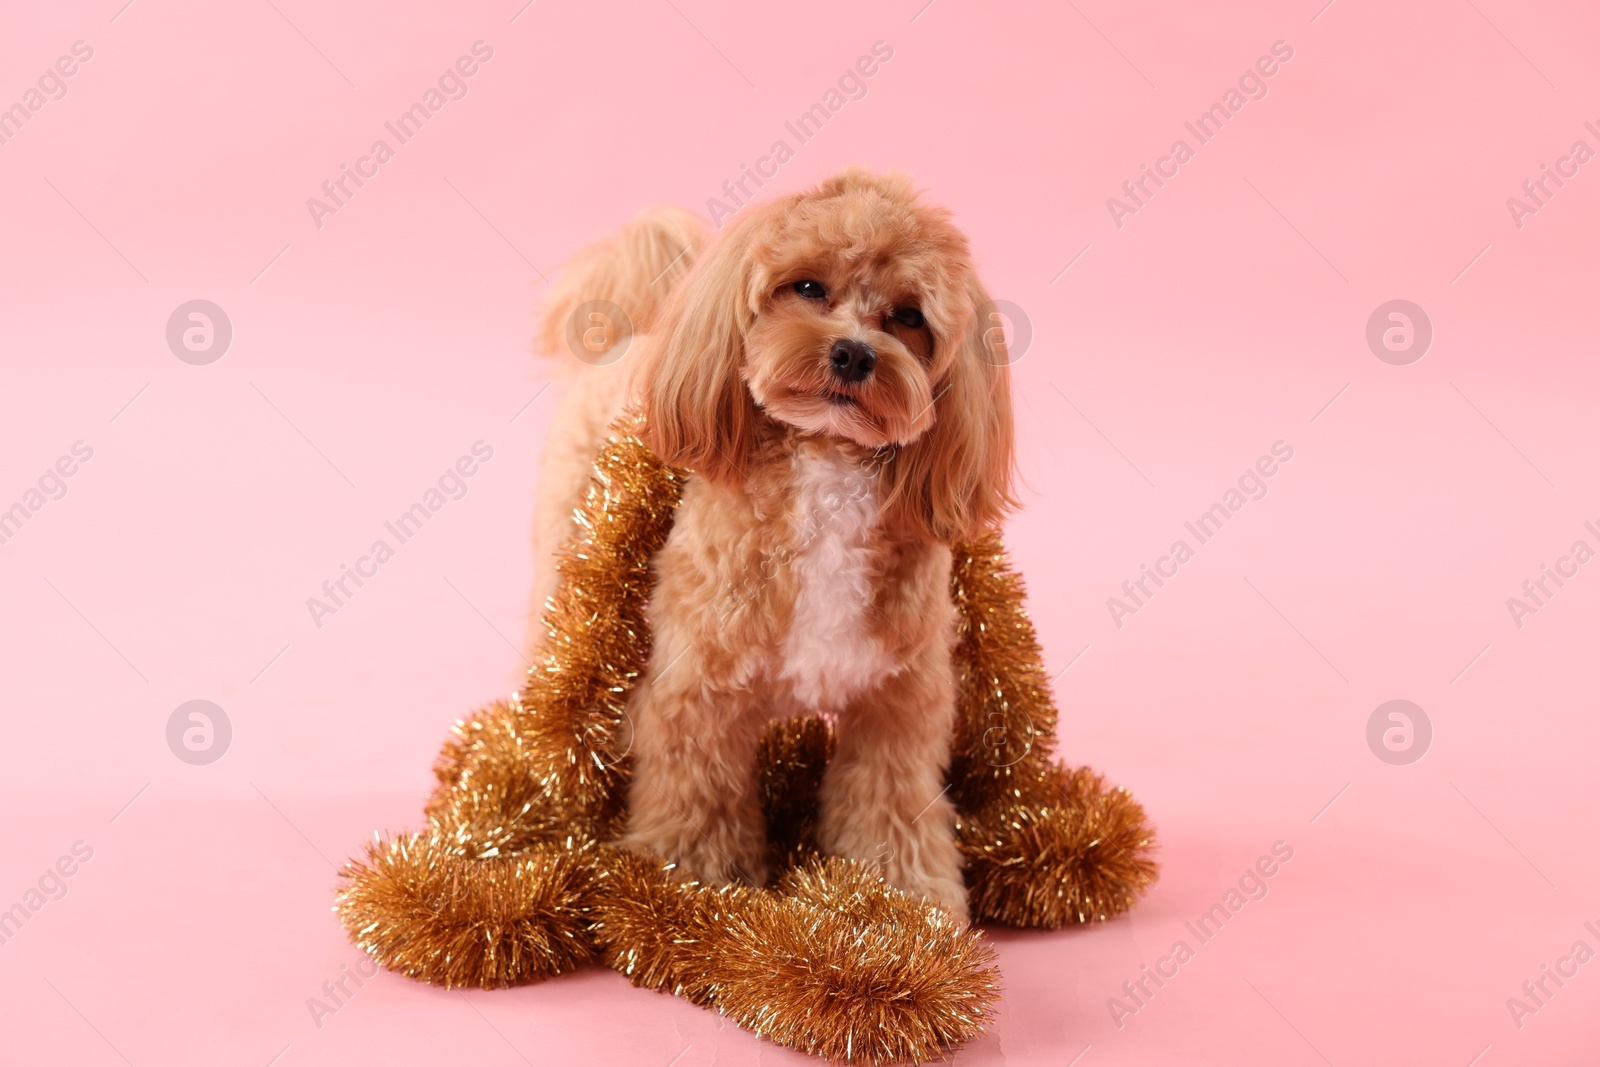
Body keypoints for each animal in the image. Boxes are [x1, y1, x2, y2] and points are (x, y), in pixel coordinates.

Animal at [531, 168, 1017, 921]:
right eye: (808, 287)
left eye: (909, 317)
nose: (853, 352)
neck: (828, 465)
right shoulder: (698, 688)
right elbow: (698, 797)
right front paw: (690, 893)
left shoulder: (898, 702)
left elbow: (891, 803)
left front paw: (901, 901)